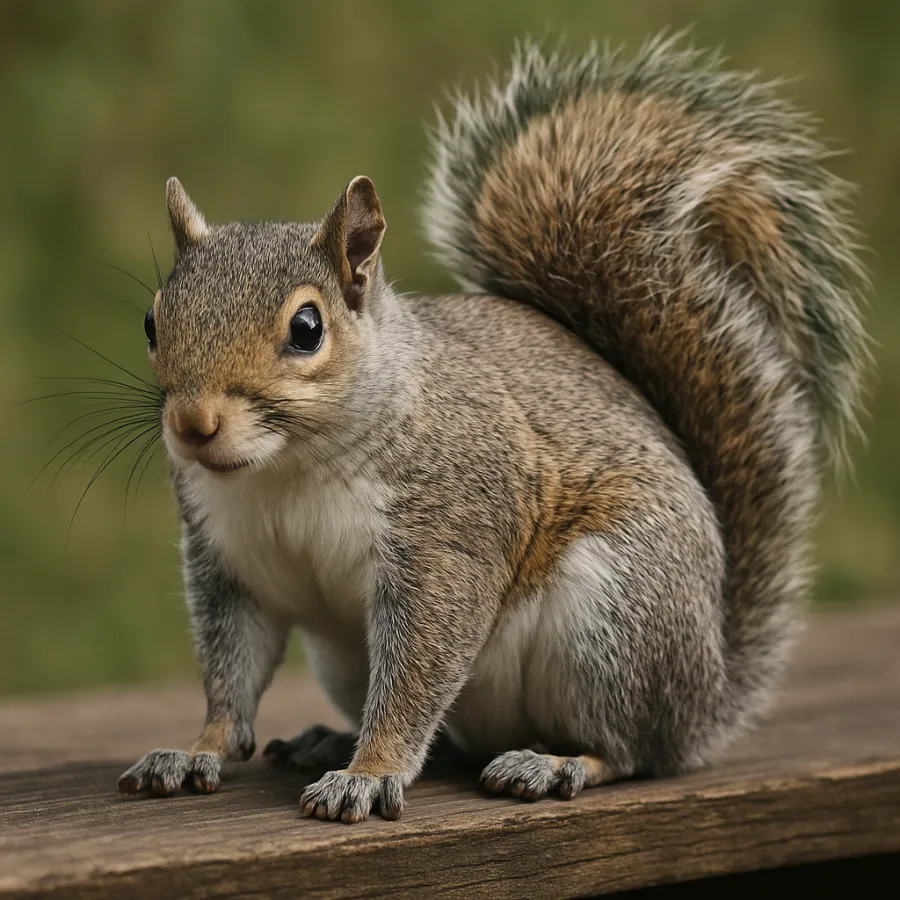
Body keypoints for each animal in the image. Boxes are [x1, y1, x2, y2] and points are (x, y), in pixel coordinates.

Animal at [117, 34, 868, 823]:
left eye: (306, 328)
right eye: (153, 320)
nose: (193, 425)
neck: (286, 466)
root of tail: (710, 694)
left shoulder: (449, 538)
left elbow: (418, 671)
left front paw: (369, 772)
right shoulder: (227, 561)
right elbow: (230, 672)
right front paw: (194, 750)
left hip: (614, 618)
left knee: (633, 749)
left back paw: (555, 763)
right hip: (353, 657)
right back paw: (333, 738)